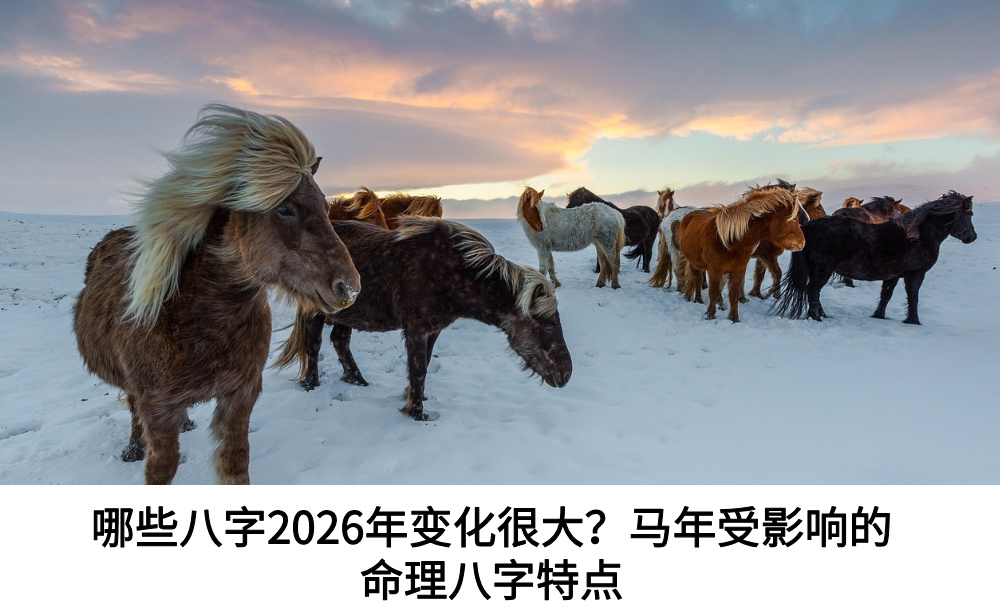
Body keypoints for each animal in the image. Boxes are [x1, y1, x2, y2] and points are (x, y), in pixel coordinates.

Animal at [73, 104, 361, 484]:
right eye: (284, 209)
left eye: (327, 209)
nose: (349, 287)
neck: (199, 319)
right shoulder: (158, 409)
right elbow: (161, 468)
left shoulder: (240, 397)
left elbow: (235, 465)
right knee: (132, 407)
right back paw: (134, 448)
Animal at [276, 217, 573, 421]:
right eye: (548, 325)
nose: (566, 374)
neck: (451, 271)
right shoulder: (417, 329)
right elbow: (418, 368)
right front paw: (417, 413)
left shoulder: (433, 330)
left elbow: (425, 365)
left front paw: (415, 398)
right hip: (316, 312)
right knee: (313, 345)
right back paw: (311, 384)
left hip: (346, 313)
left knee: (339, 341)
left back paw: (358, 380)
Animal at [678, 186, 805, 322]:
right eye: (795, 218)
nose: (802, 243)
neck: (729, 240)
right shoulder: (714, 270)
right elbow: (713, 292)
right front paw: (711, 315)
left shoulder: (739, 269)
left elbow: (733, 293)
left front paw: (734, 318)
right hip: (694, 263)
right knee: (697, 279)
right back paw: (698, 300)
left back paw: (720, 304)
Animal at [772, 191, 976, 325]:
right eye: (969, 214)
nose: (972, 237)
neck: (917, 236)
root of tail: (807, 226)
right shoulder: (915, 274)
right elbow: (913, 296)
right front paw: (914, 321)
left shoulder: (893, 276)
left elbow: (886, 295)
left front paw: (879, 315)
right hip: (823, 270)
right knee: (813, 290)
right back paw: (816, 317)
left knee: (814, 291)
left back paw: (822, 315)